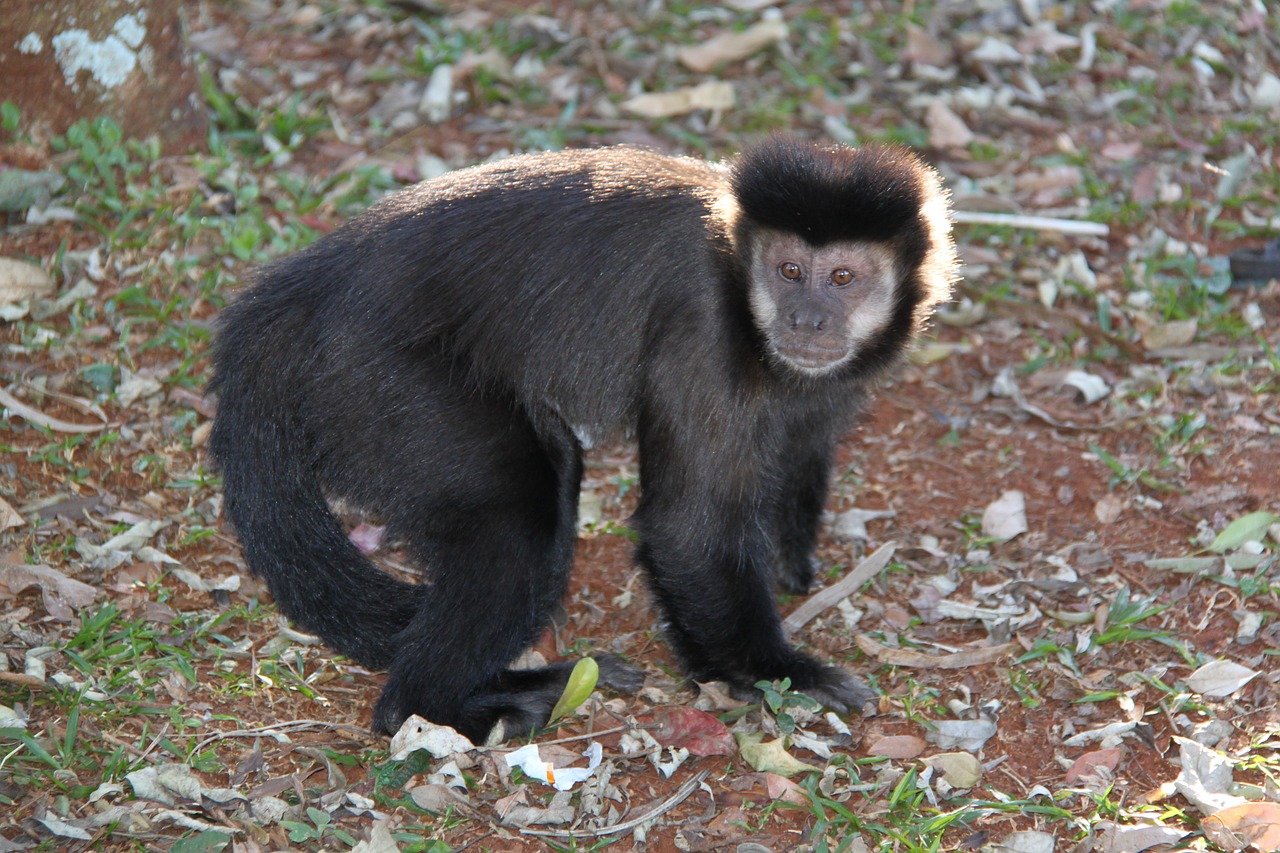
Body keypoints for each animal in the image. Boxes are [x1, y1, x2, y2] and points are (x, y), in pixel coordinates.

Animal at [207, 136, 952, 742]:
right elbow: (688, 528)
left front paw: (786, 568)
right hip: (371, 372)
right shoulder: (702, 329)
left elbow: (799, 443)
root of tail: (302, 289)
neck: (741, 273)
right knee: (522, 508)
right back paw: (448, 706)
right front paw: (776, 673)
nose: (806, 318)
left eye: (843, 278)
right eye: (790, 271)